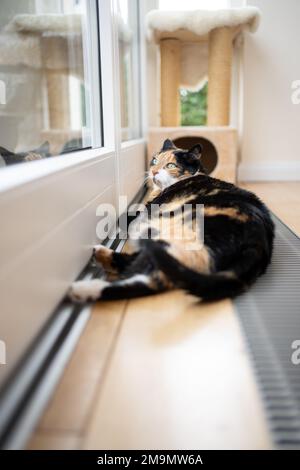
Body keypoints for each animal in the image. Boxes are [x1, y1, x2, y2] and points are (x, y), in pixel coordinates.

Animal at [68, 138, 274, 302]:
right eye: (154, 160)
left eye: (171, 166)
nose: (153, 172)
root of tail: (259, 243)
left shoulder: (148, 209)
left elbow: (127, 217)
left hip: (181, 235)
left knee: (146, 269)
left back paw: (87, 278)